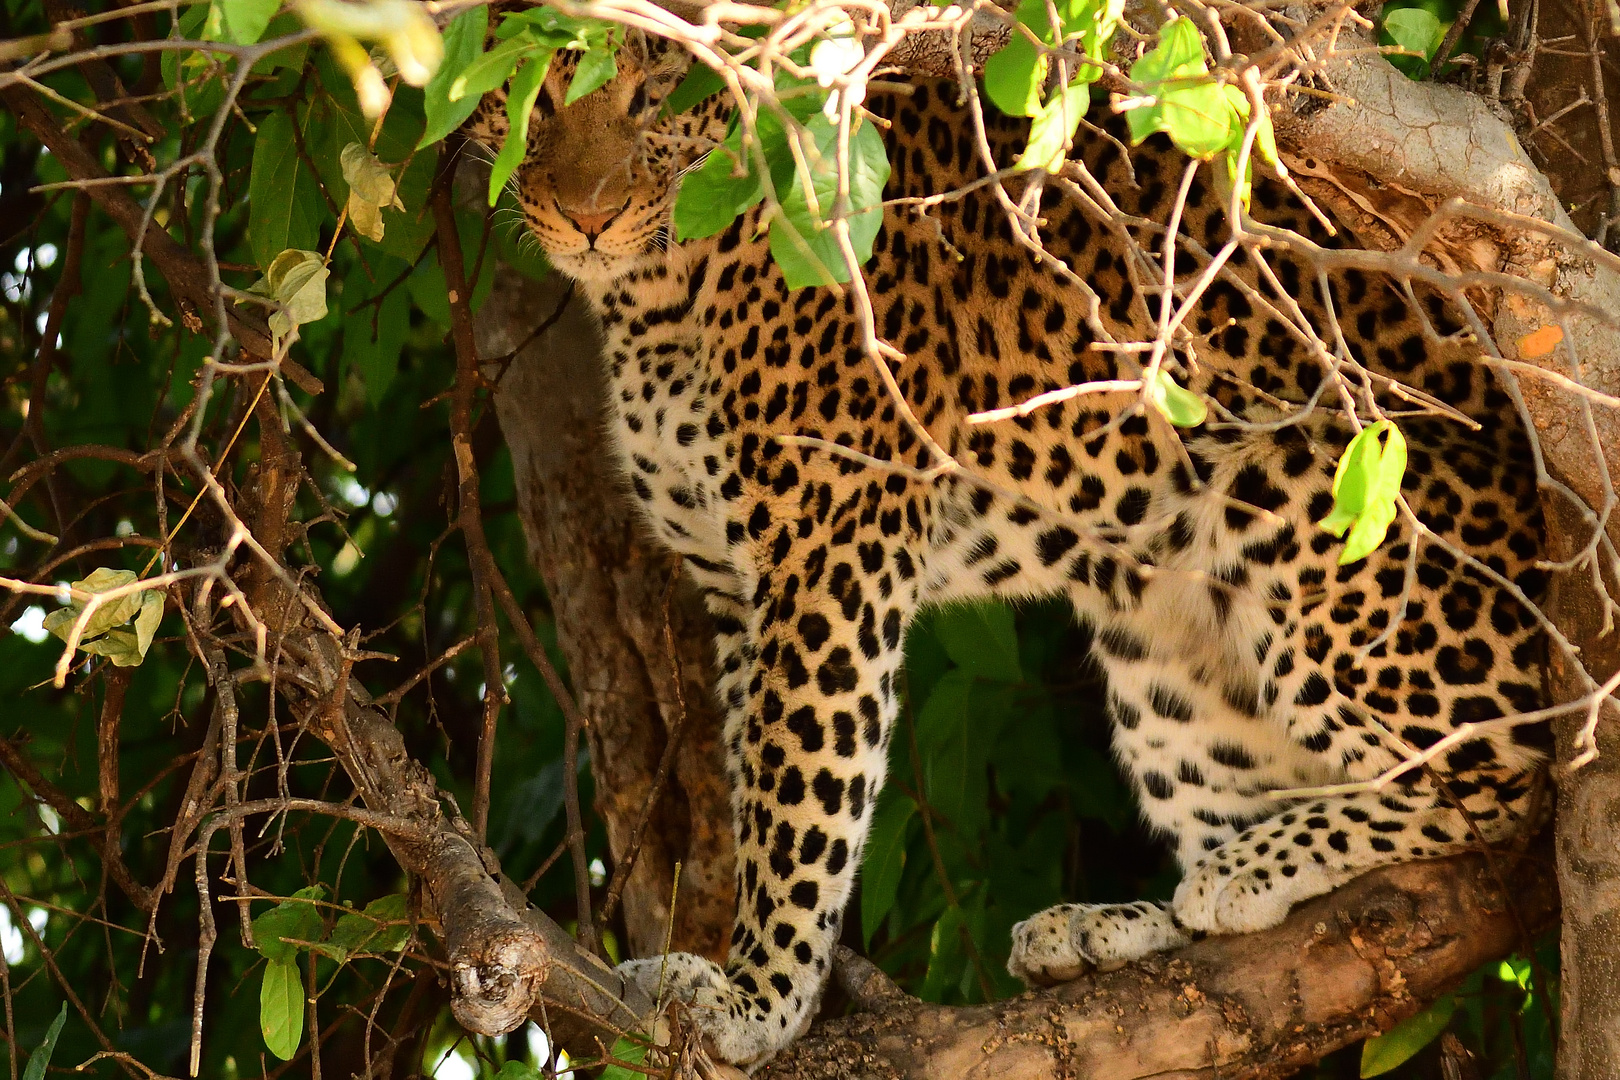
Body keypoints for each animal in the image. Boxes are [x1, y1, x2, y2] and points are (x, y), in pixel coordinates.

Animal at [463, 31, 1548, 1062]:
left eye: (657, 98)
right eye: (533, 100)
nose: (587, 215)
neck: (655, 295)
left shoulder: (830, 548)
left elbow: (801, 803)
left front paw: (759, 1000)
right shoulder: (736, 589)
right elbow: (752, 782)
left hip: (1301, 476)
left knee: (1514, 779)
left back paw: (1252, 864)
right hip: (1158, 646)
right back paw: (1125, 922)